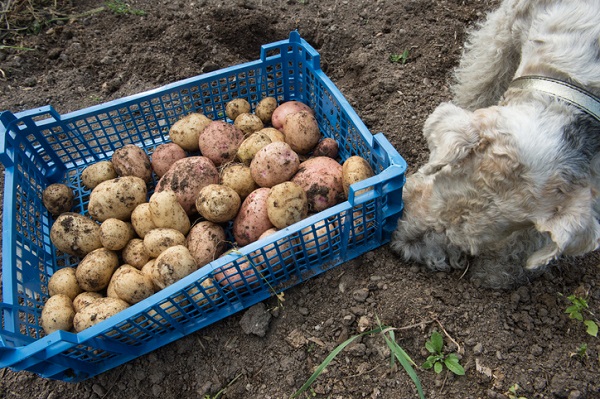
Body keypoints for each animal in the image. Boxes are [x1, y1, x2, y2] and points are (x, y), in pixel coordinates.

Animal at [392, 0, 600, 288]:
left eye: (469, 243)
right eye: (435, 186)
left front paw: (496, 272)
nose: (398, 244)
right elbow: (484, 80)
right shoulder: (508, 23)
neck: (572, 93)